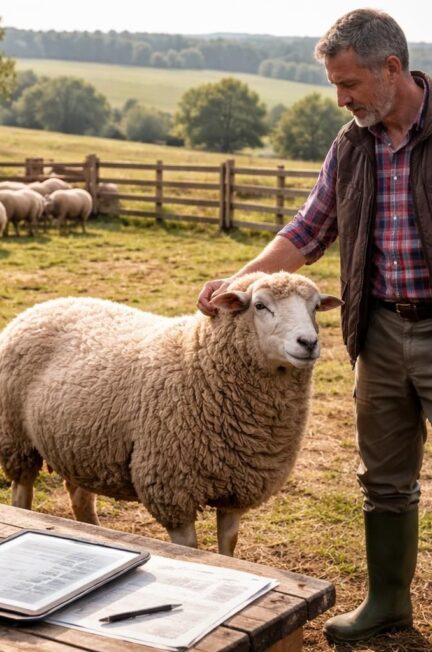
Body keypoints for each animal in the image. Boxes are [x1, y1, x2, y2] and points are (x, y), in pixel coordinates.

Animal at [0, 272, 341, 555]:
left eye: (315, 307)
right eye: (260, 305)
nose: (308, 342)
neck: (198, 360)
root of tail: (41, 307)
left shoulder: (238, 488)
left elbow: (228, 544)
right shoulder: (171, 488)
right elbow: (188, 547)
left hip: (79, 446)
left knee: (80, 498)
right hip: (16, 438)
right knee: (22, 492)